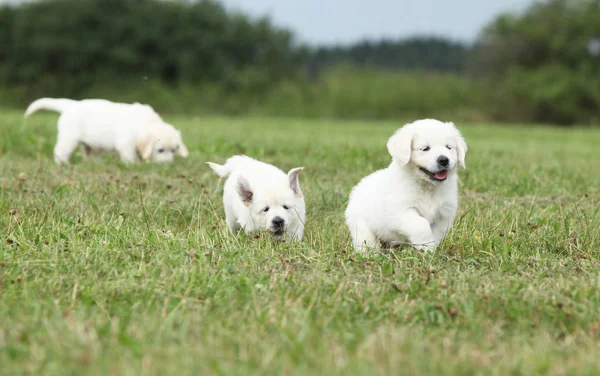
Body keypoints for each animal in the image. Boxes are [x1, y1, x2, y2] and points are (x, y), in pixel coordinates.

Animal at [24, 98, 189, 164]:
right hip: (69, 138)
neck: (146, 123)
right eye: (160, 150)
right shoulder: (126, 144)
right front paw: (134, 165)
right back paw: (63, 164)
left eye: (174, 150)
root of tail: (71, 105)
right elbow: (130, 157)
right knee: (60, 151)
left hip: (91, 146)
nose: (167, 164)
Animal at [344, 119, 466, 254]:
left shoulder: (444, 216)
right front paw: (425, 248)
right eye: (425, 149)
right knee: (366, 242)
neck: (429, 188)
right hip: (360, 225)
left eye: (448, 147)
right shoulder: (399, 212)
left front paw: (426, 251)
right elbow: (421, 225)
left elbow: (435, 234)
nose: (444, 160)